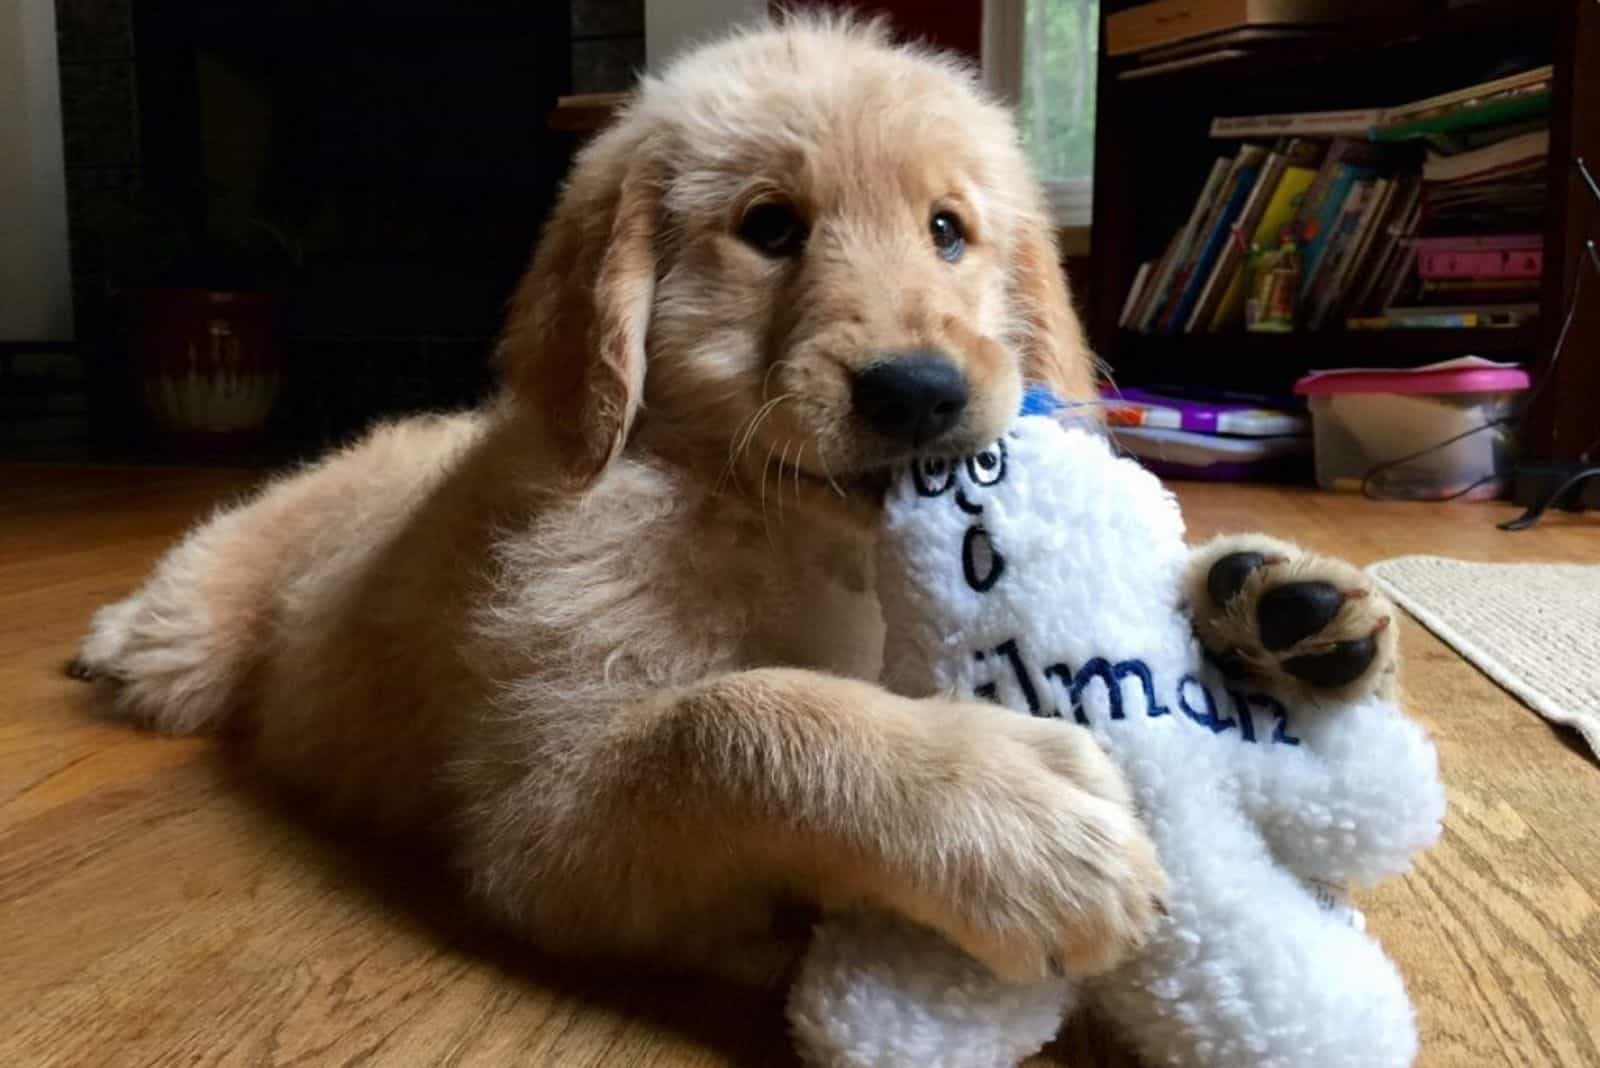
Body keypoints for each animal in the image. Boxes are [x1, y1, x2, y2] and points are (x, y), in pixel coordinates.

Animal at [75, 16, 1171, 984]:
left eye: (947, 231)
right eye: (770, 228)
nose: (918, 392)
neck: (769, 522)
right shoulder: (542, 821)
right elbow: (733, 718)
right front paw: (1013, 815)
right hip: (209, 627)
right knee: (180, 614)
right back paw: (113, 635)